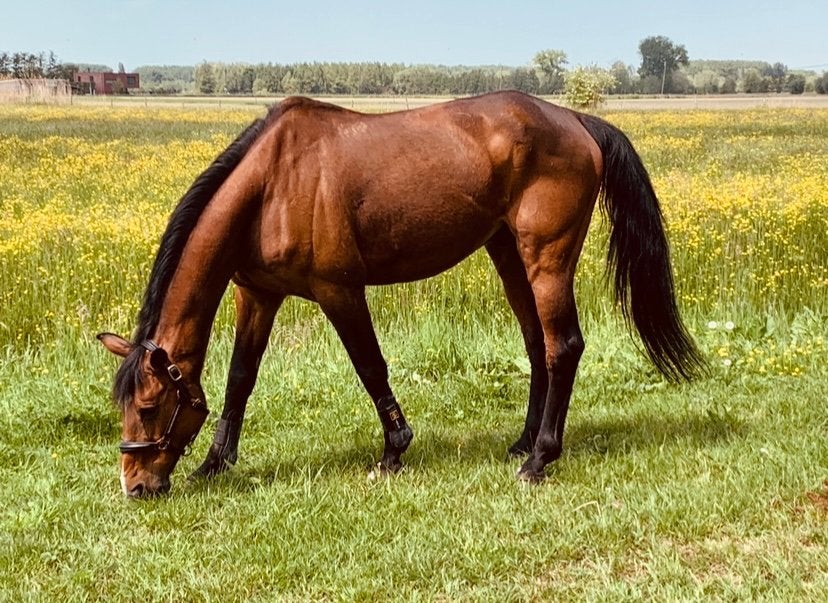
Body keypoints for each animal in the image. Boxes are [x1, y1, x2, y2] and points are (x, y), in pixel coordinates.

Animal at [98, 91, 703, 498]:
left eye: (149, 407)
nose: (135, 485)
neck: (272, 182)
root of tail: (575, 119)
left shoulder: (339, 290)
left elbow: (370, 367)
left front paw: (394, 449)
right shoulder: (258, 295)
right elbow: (240, 379)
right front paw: (215, 462)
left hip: (546, 258)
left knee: (563, 346)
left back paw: (539, 459)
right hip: (507, 253)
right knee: (536, 345)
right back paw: (523, 442)